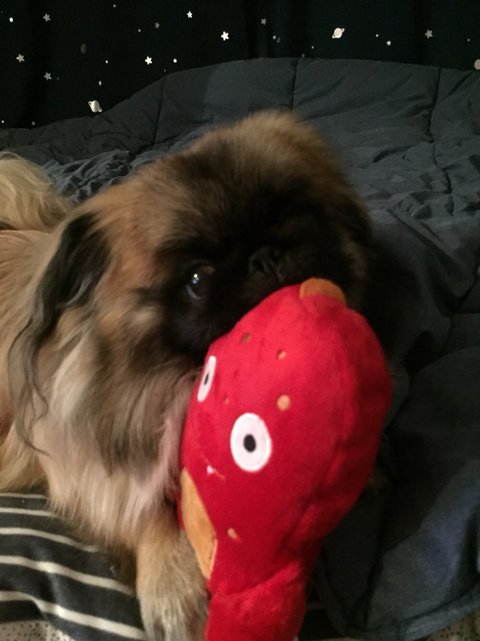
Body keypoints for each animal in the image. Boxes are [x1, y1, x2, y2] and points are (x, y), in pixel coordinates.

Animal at [0, 112, 372, 640]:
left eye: (298, 218)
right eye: (196, 280)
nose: (266, 257)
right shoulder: (80, 462)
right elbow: (139, 509)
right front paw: (173, 583)